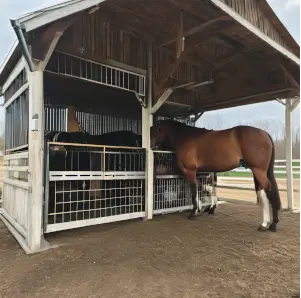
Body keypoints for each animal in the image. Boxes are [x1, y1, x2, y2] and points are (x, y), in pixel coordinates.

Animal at [150, 118, 282, 233]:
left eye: (154, 130)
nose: (151, 146)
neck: (186, 137)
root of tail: (265, 134)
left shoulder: (190, 171)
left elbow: (194, 191)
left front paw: (193, 213)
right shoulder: (202, 173)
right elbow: (203, 189)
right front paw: (203, 209)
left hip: (258, 170)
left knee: (268, 192)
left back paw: (269, 224)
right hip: (259, 171)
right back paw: (269, 223)